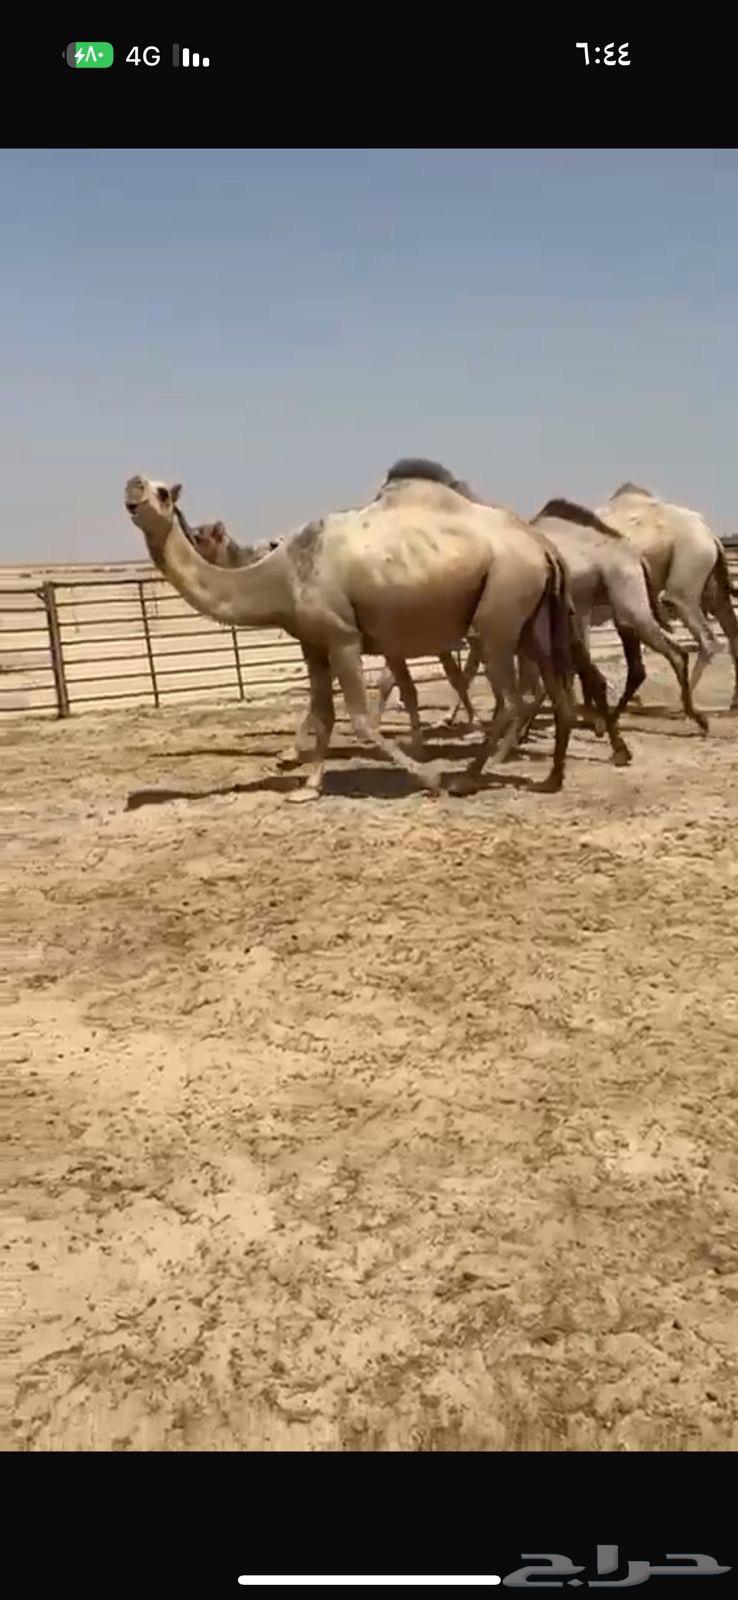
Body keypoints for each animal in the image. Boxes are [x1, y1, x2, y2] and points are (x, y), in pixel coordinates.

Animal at [124, 466, 599, 799]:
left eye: (162, 492)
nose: (133, 486)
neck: (281, 574)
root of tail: (543, 547)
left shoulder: (343, 637)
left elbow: (360, 719)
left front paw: (429, 776)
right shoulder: (312, 642)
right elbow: (324, 714)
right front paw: (308, 786)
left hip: (500, 607)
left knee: (511, 699)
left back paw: (466, 777)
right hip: (531, 620)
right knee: (556, 693)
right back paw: (551, 778)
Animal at [596, 483, 738, 711]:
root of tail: (712, 536)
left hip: (690, 561)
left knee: (704, 634)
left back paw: (683, 703)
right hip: (711, 581)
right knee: (730, 626)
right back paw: (732, 702)